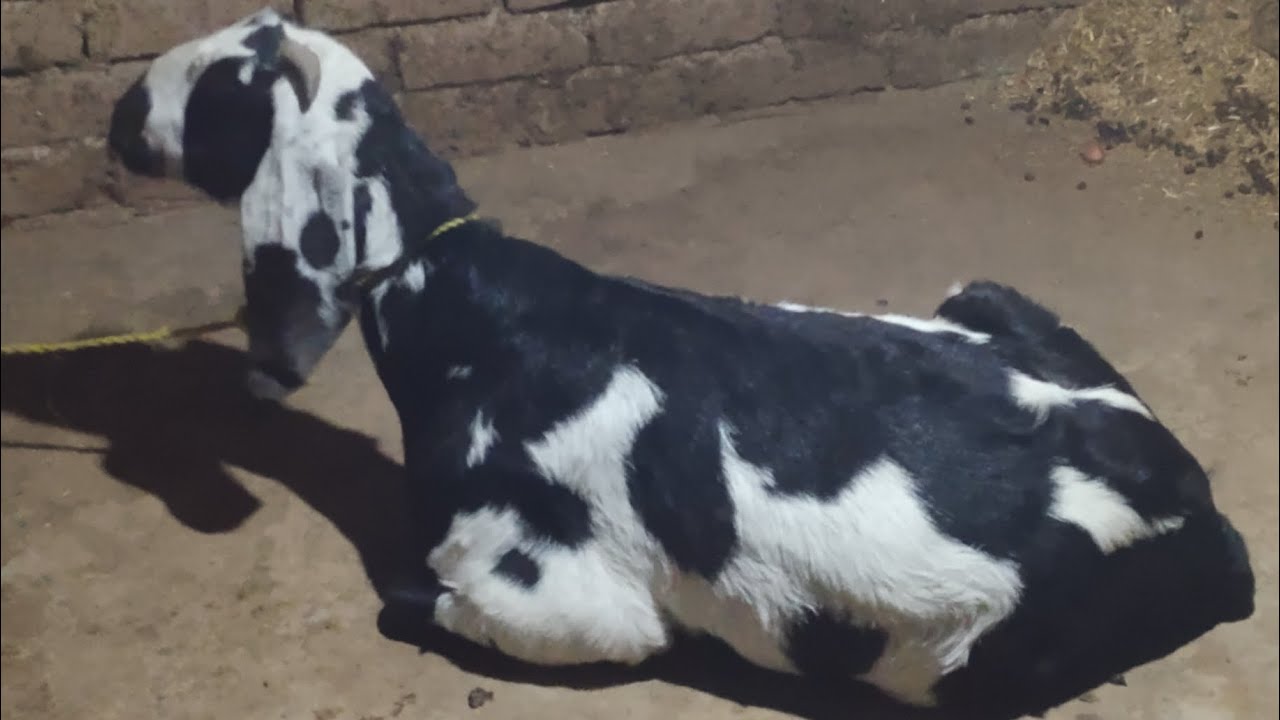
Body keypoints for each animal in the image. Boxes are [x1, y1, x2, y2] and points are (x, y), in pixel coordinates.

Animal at [106, 10, 1255, 719]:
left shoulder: (561, 600)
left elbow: (414, 598)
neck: (474, 318)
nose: (117, 113)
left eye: (214, 87)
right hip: (982, 291)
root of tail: (1193, 498)